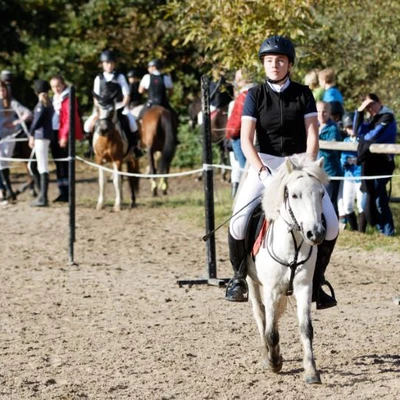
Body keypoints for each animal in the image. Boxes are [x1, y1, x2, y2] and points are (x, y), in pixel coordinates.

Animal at [248, 154, 330, 384]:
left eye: (322, 194)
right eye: (294, 195)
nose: (316, 233)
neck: (292, 245)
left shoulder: (303, 287)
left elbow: (306, 328)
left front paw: (311, 371)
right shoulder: (270, 289)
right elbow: (271, 330)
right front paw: (274, 362)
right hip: (252, 283)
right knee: (261, 315)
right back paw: (267, 353)